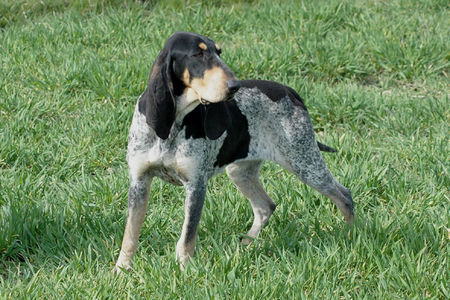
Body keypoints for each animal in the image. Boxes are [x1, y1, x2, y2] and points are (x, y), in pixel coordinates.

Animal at [116, 32, 356, 272]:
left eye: (219, 52)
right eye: (198, 54)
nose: (235, 85)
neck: (174, 123)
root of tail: (291, 93)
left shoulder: (196, 186)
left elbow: (187, 238)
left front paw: (184, 270)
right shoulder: (139, 181)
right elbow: (130, 235)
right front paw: (121, 269)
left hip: (306, 164)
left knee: (344, 195)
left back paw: (351, 235)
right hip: (241, 172)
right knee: (265, 207)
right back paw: (244, 247)